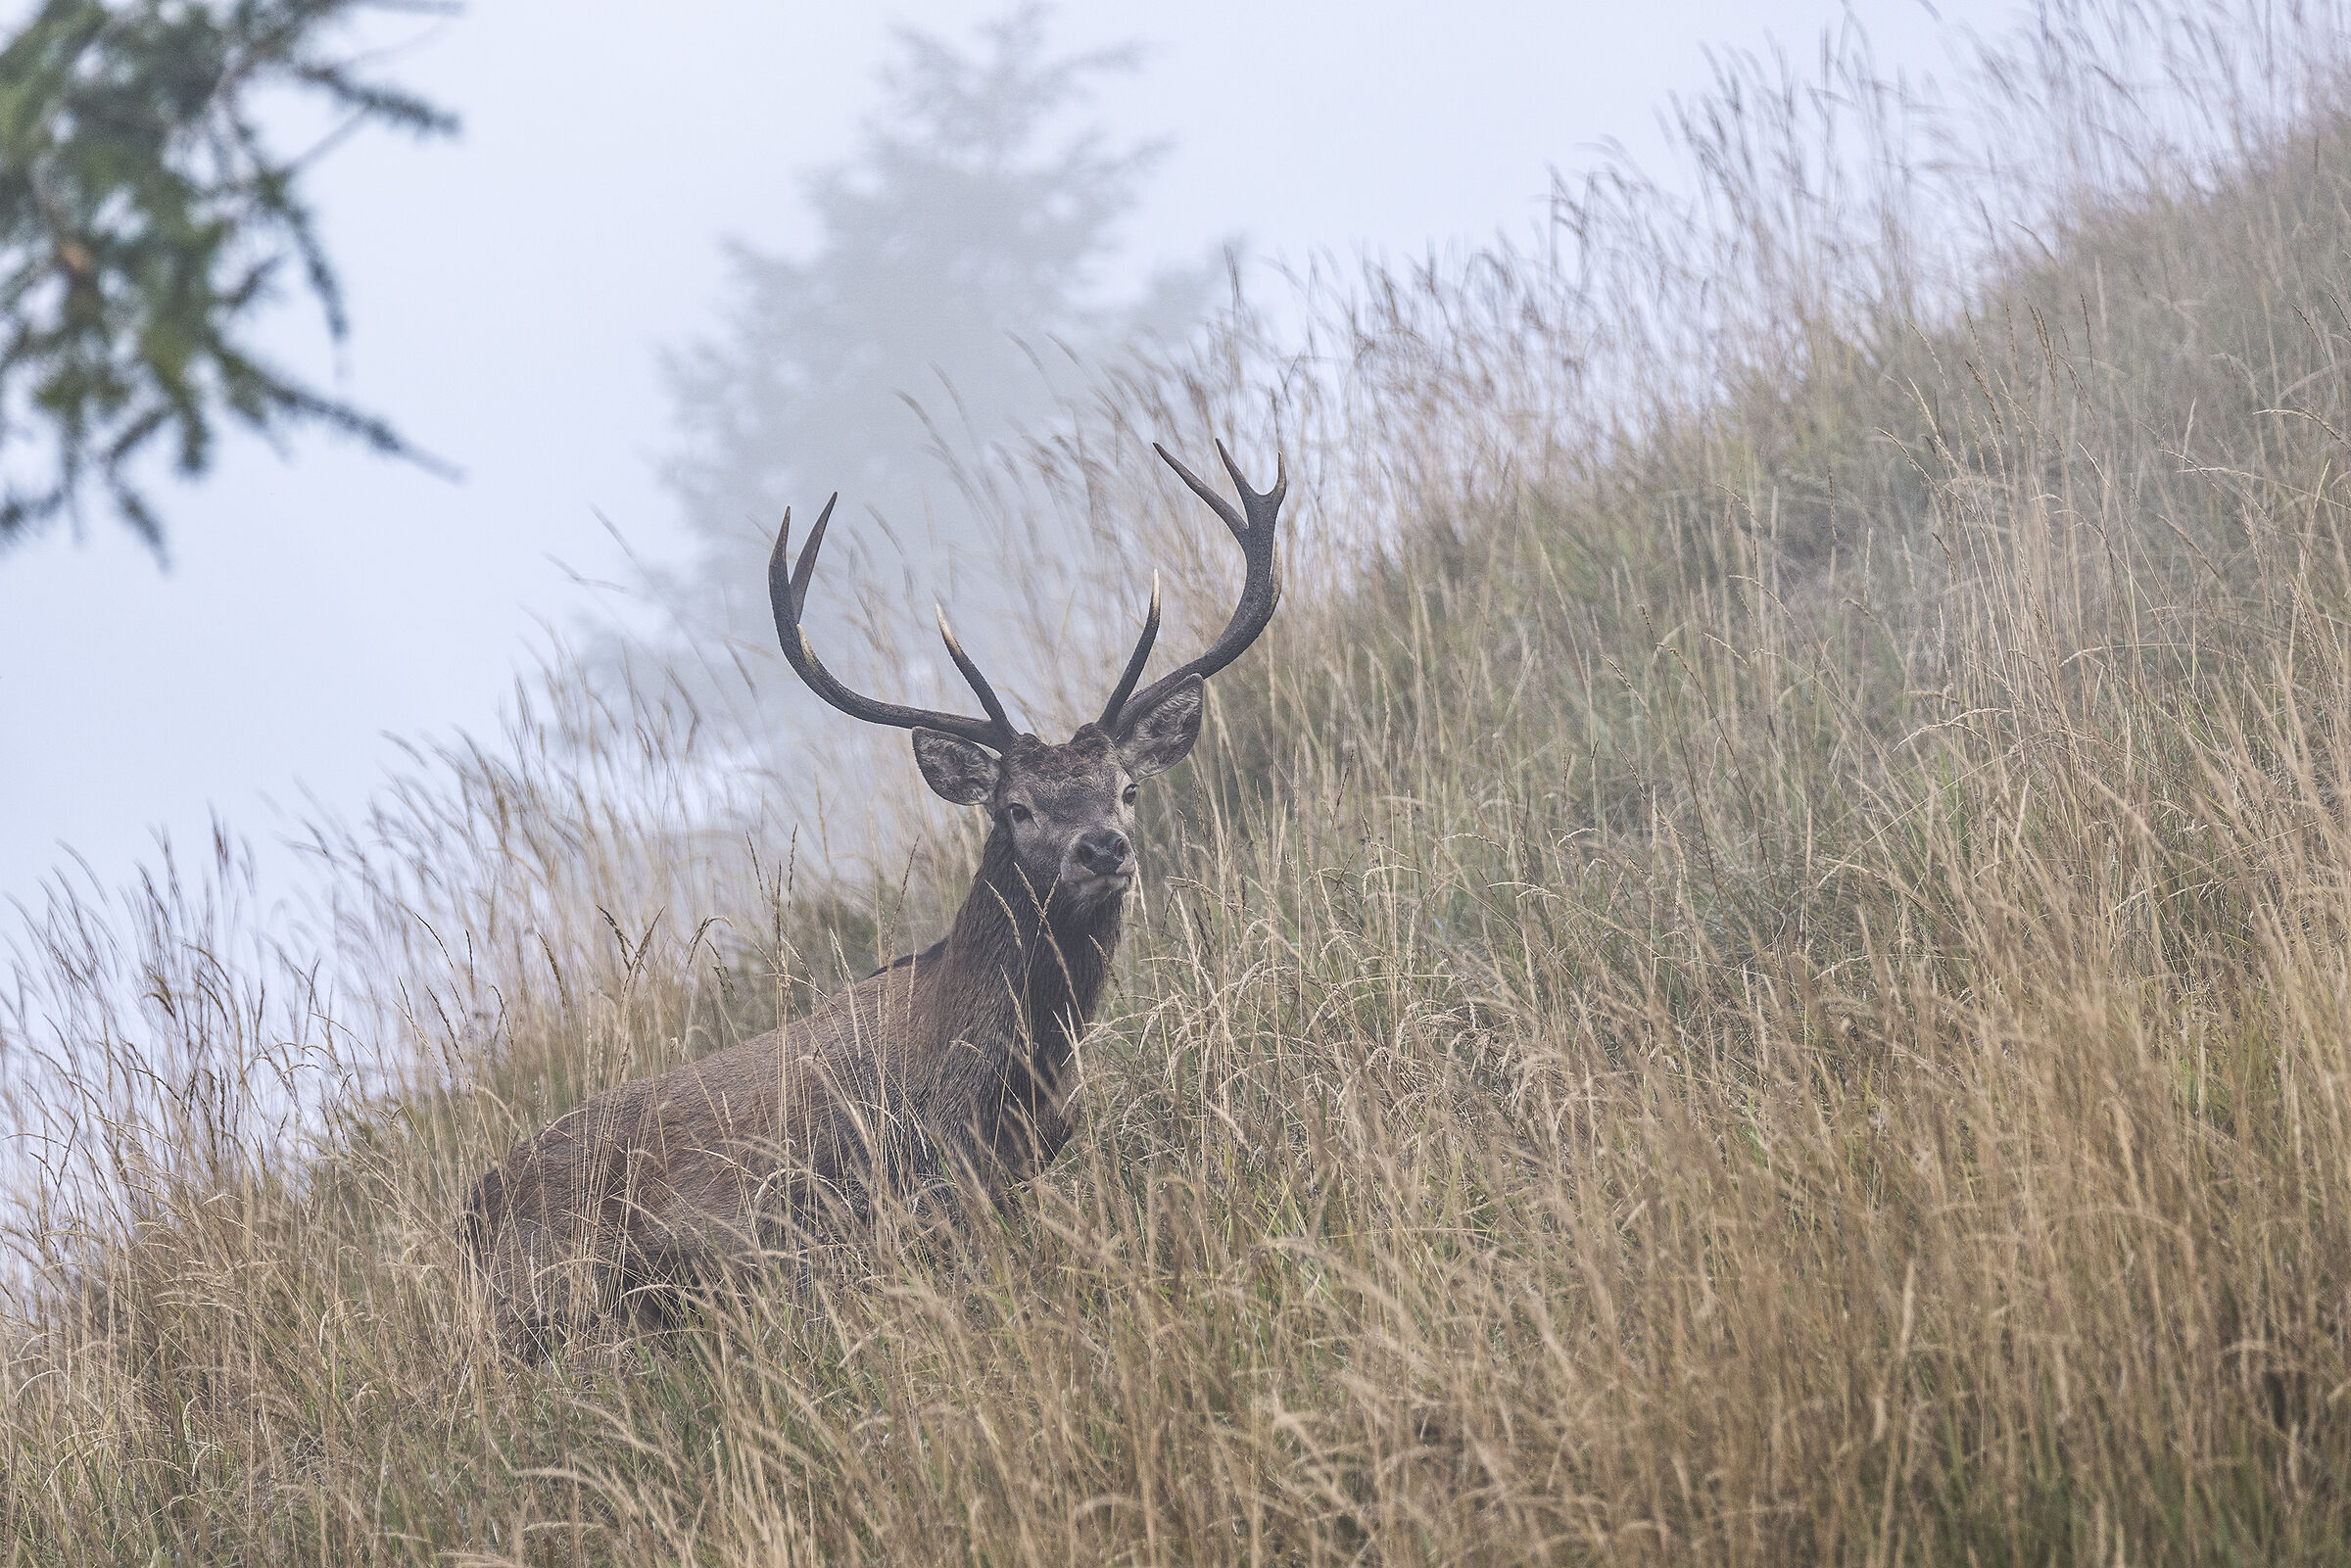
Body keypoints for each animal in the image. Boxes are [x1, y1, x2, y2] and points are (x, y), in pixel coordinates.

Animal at [460, 442, 1287, 1347]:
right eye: (1016, 807)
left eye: (1127, 788)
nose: (1103, 846)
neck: (996, 1078)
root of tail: (472, 1211)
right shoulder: (879, 1198)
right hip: (566, 1288)